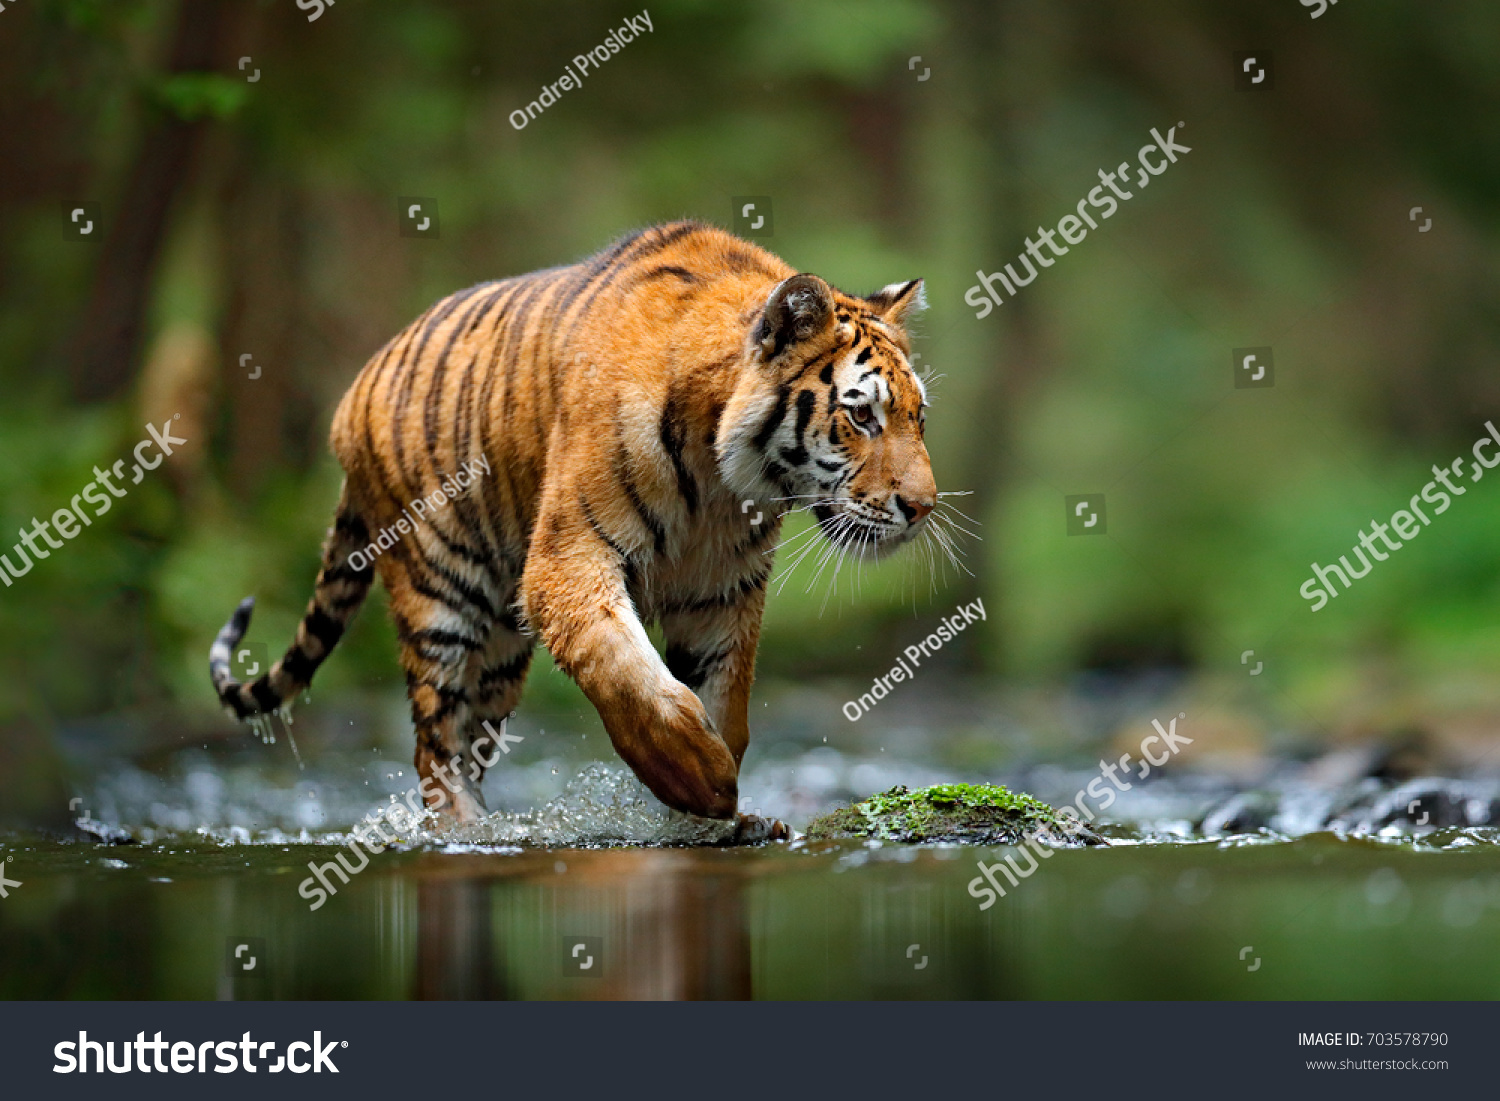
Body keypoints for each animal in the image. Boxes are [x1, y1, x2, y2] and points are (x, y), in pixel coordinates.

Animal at [208, 220, 936, 840]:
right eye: (863, 415)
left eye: (918, 417)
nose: (924, 507)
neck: (721, 482)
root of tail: (354, 393)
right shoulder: (569, 558)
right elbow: (623, 669)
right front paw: (702, 778)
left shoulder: (721, 592)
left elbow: (724, 696)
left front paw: (714, 817)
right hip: (439, 593)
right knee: (432, 742)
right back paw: (464, 833)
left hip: (499, 653)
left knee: (468, 736)